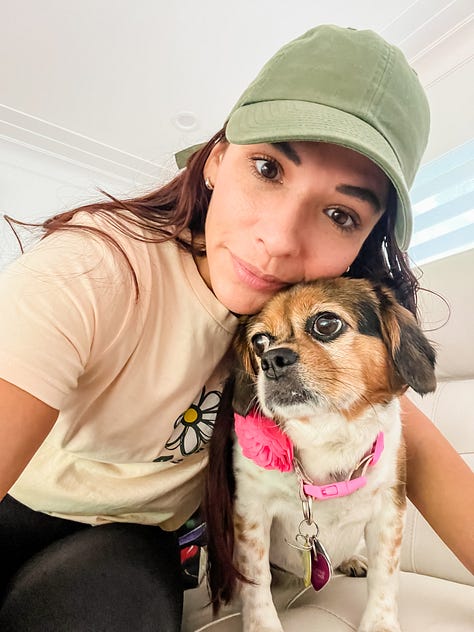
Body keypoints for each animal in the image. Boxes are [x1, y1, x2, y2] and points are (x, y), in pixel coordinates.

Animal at [206, 278, 436, 632]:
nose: (271, 360)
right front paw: (262, 625)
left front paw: (380, 622)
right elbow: (256, 582)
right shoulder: (251, 511)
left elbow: (385, 574)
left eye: (326, 323)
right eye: (259, 341)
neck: (326, 435)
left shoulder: (389, 510)